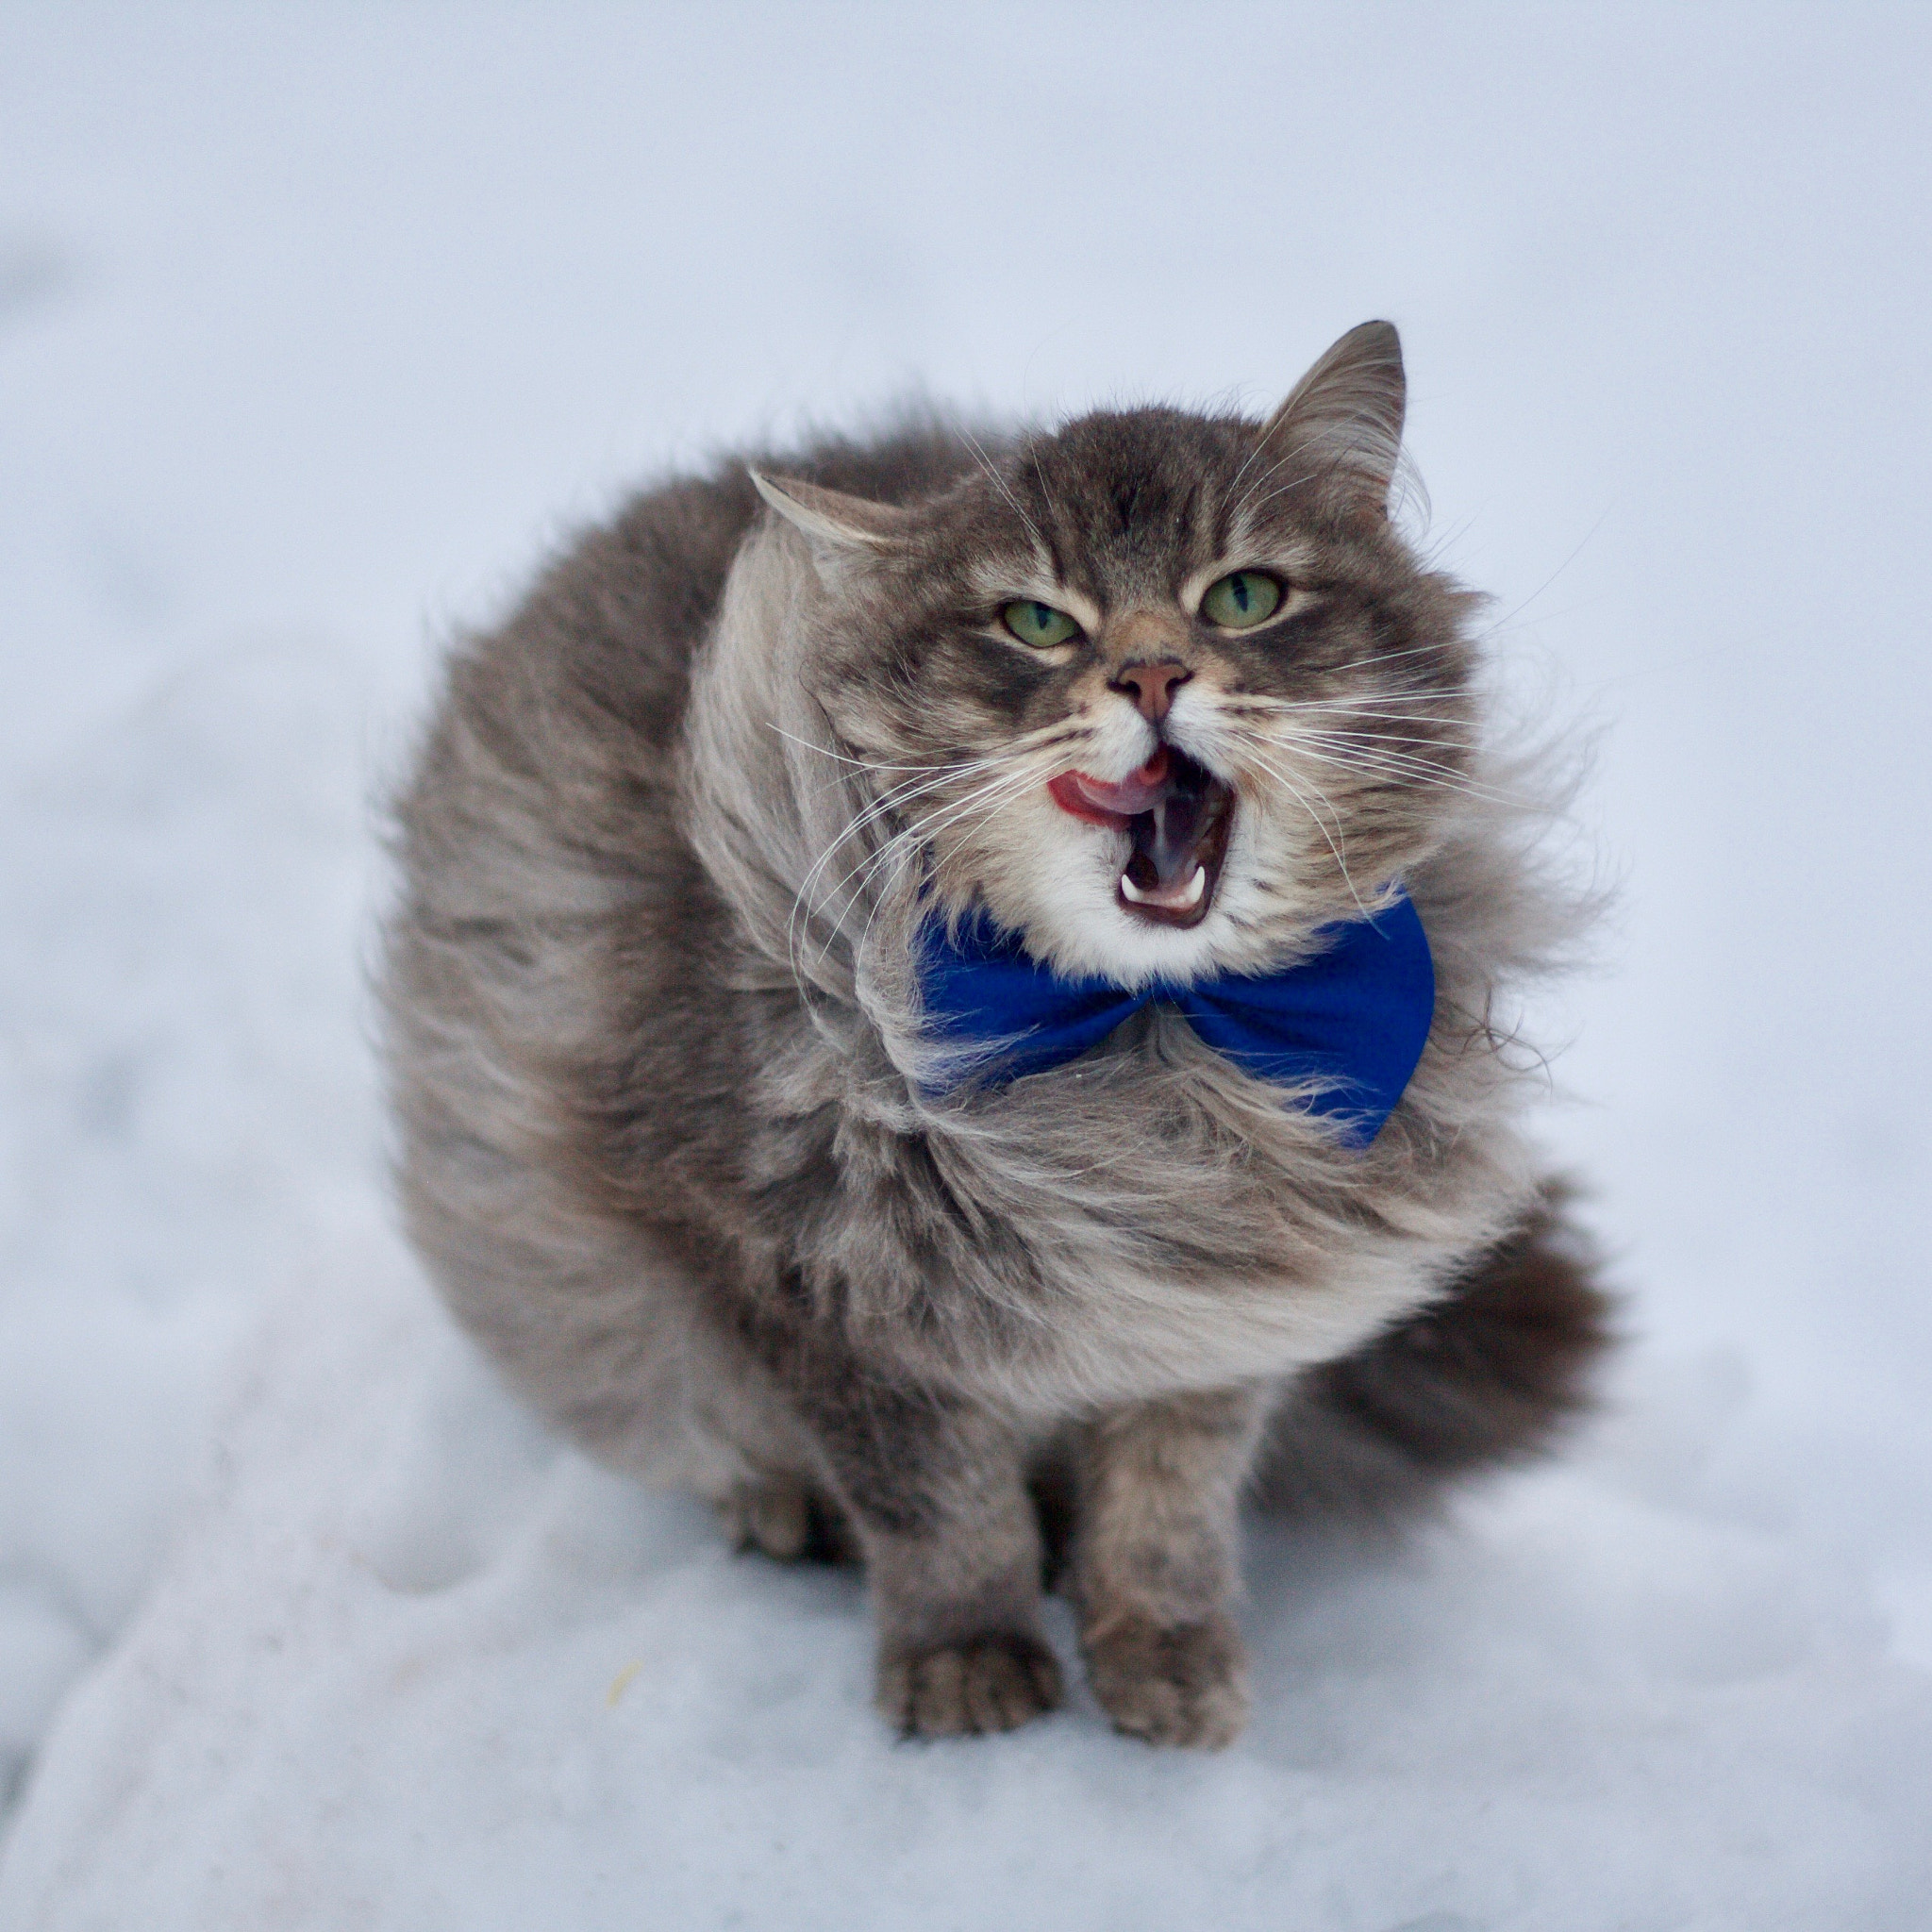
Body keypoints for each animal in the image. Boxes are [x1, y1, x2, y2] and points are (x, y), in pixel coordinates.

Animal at [380, 328, 1615, 1754]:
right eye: (1036, 623)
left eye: (1243, 597)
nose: (1152, 675)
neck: (1146, 1058)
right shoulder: (809, 1288)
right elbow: (938, 1510)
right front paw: (969, 1669)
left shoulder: (1213, 1303)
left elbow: (1169, 1506)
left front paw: (1160, 1662)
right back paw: (782, 1511)